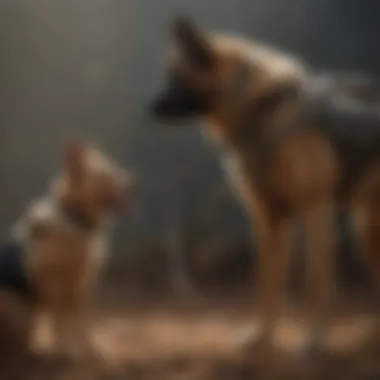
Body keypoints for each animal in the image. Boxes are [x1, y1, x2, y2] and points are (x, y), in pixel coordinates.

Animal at [3, 140, 135, 360]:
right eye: (105, 174)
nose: (133, 185)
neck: (74, 215)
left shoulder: (81, 286)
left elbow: (82, 323)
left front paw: (92, 350)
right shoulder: (56, 286)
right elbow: (62, 322)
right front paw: (68, 350)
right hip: (11, 302)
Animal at [150, 14, 380, 354]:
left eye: (177, 77)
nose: (150, 110)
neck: (264, 109)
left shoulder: (316, 211)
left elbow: (316, 284)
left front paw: (313, 340)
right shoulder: (269, 221)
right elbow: (267, 288)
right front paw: (260, 337)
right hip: (366, 230)